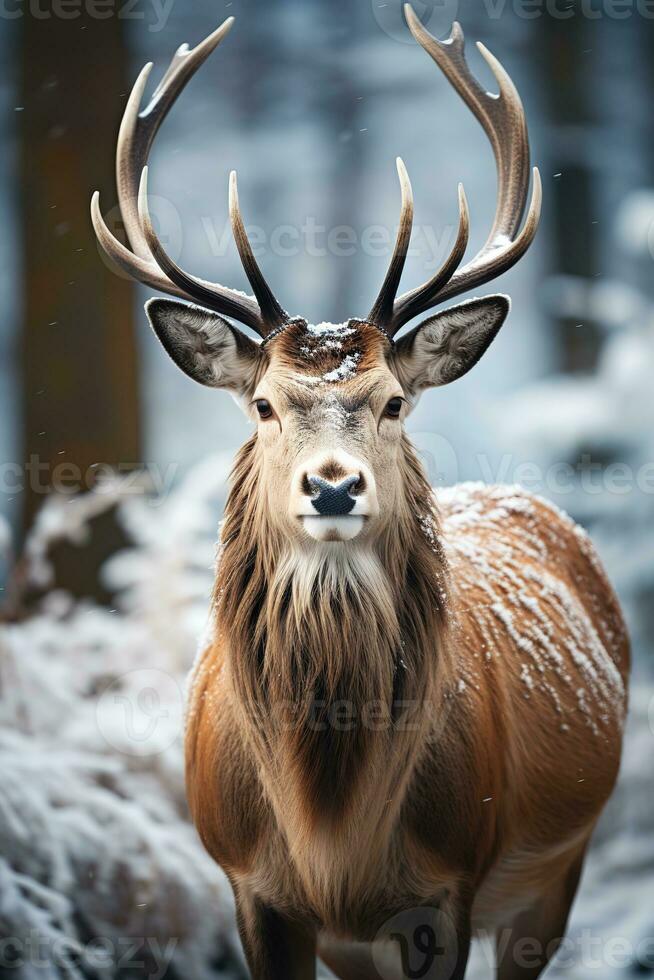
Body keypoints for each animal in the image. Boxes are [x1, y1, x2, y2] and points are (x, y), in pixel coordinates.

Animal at [92, 9, 632, 980]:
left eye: (391, 401)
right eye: (264, 404)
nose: (334, 486)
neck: (333, 833)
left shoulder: (449, 883)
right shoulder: (251, 886)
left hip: (558, 869)